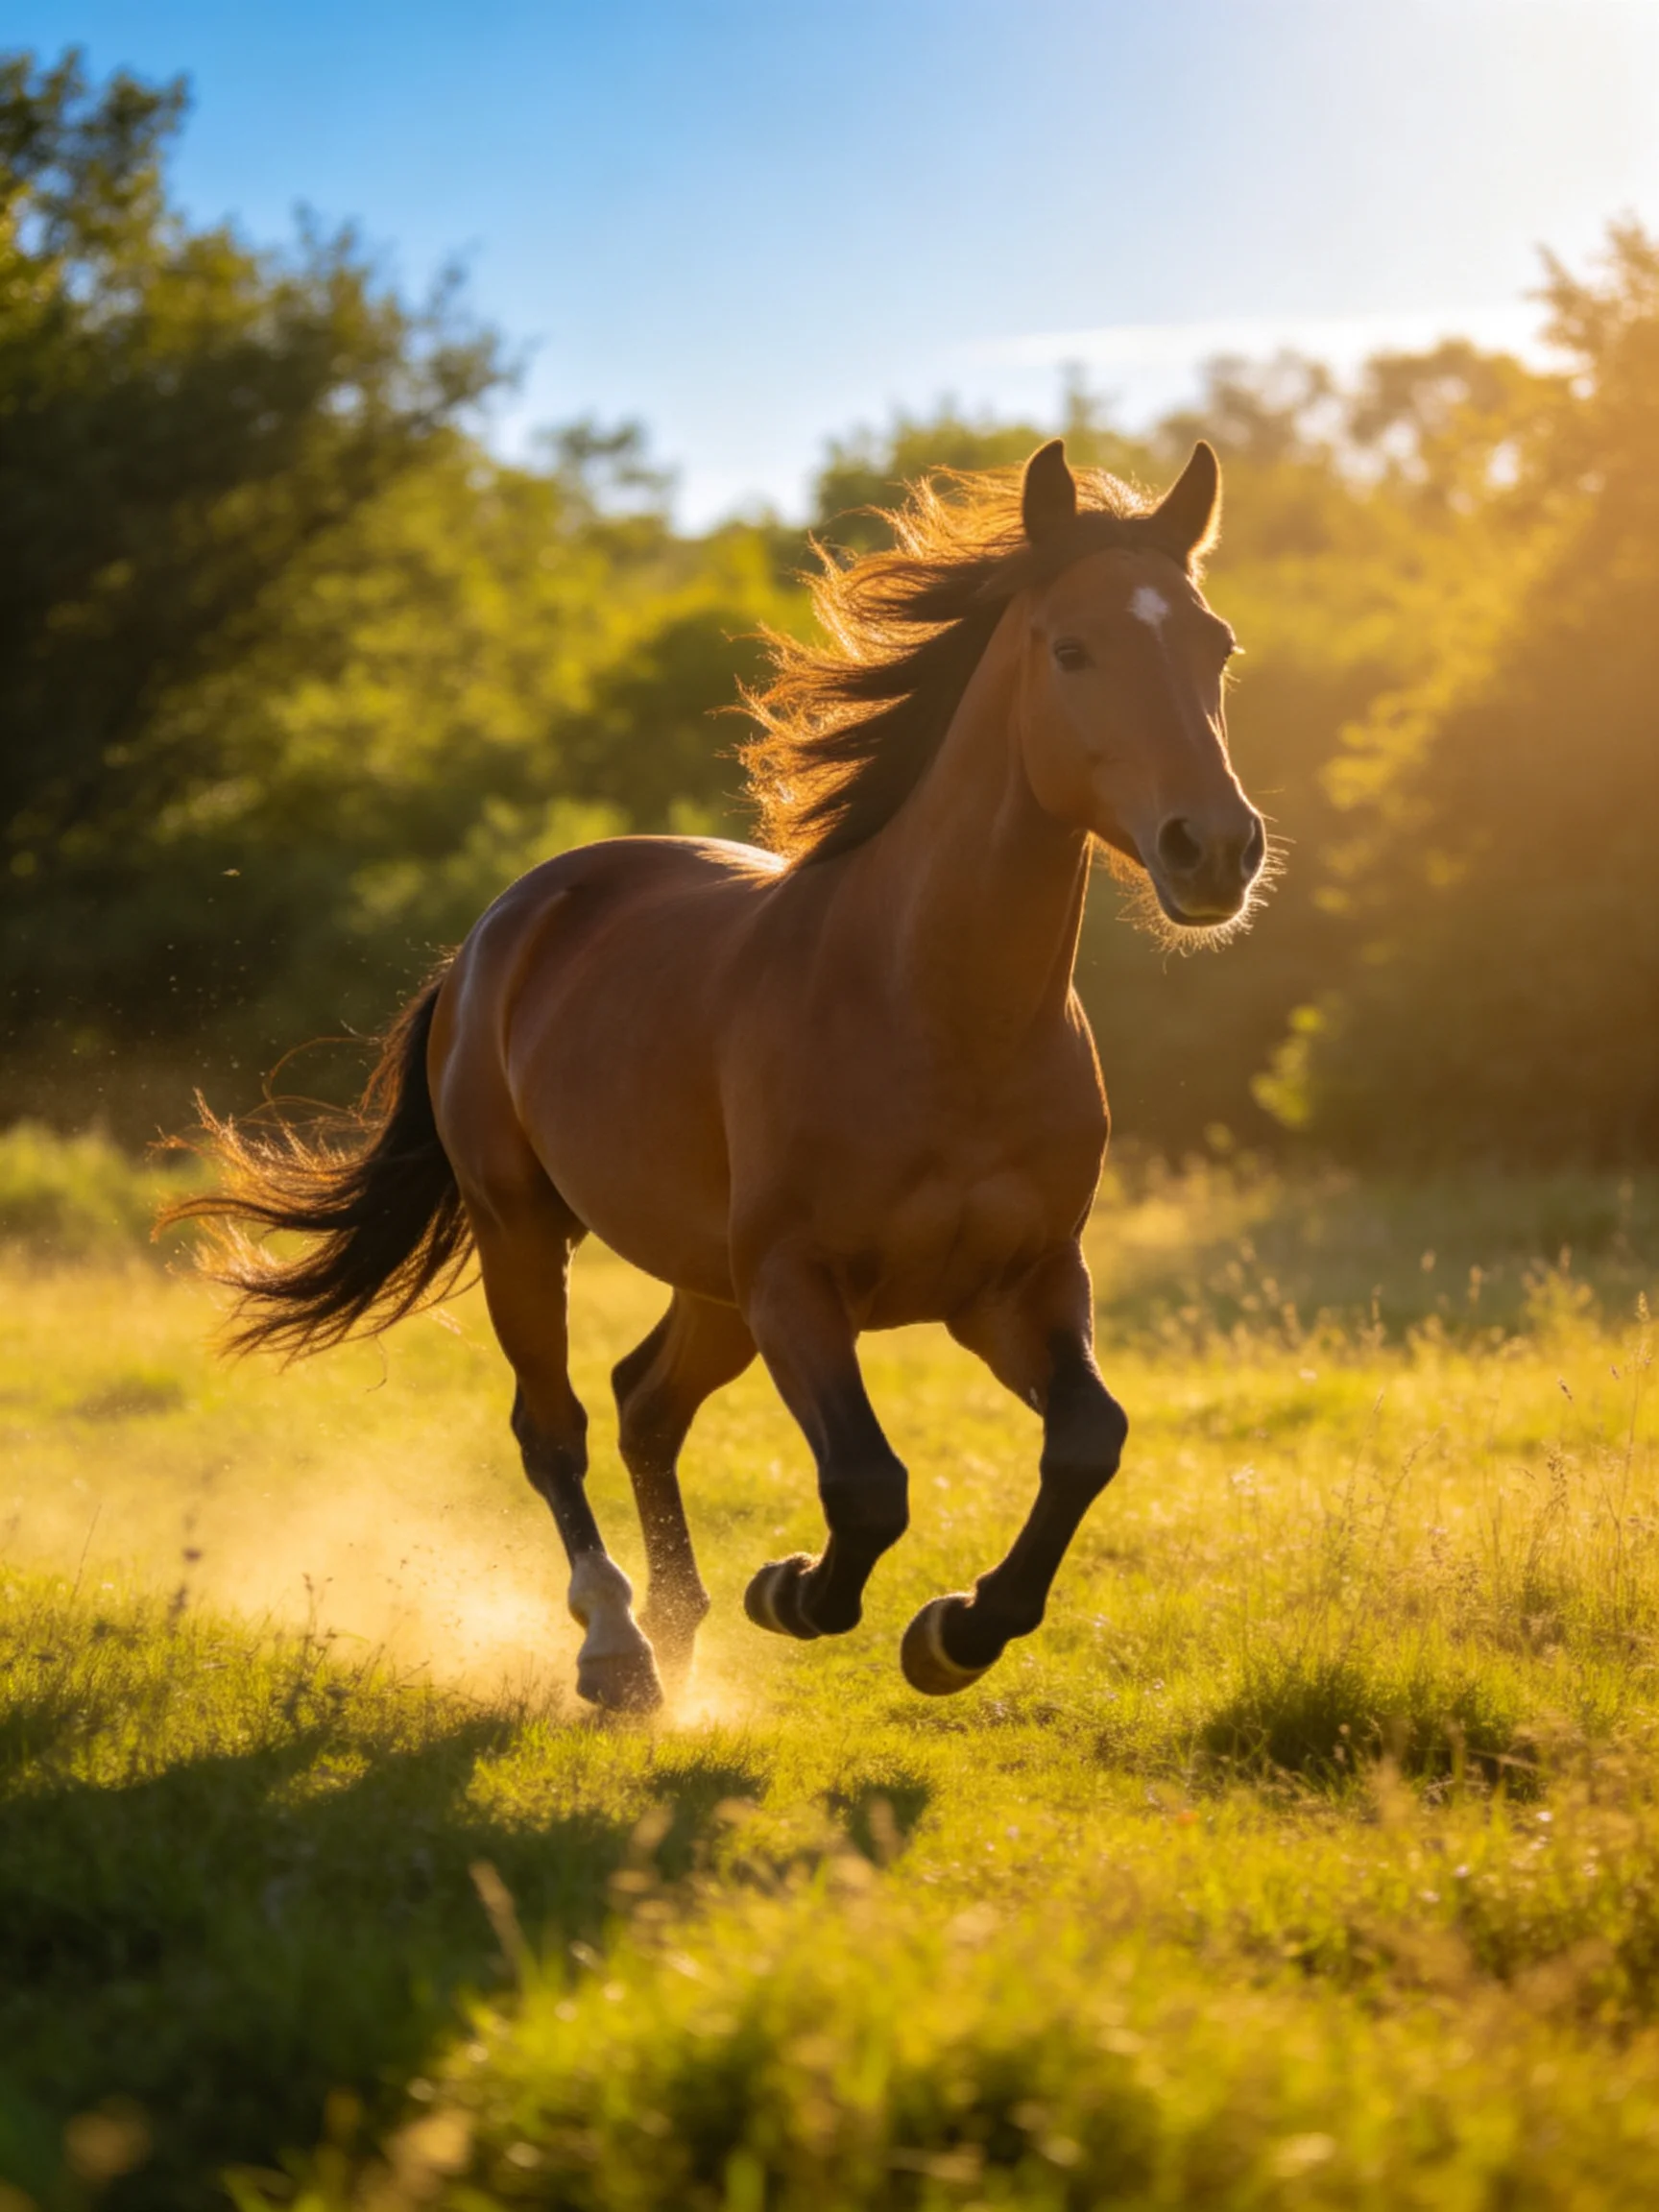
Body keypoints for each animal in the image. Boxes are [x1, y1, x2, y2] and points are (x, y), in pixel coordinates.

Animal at [169, 437, 1267, 1712]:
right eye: (1072, 649)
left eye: (1217, 646)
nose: (1215, 850)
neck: (934, 1012)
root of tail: (500, 926)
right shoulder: (797, 1282)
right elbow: (867, 1485)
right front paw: (792, 1592)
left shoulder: (1019, 1284)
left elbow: (1090, 1440)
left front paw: (956, 1633)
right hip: (525, 1229)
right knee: (556, 1425)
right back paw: (618, 1648)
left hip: (709, 1285)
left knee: (645, 1405)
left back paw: (676, 1627)